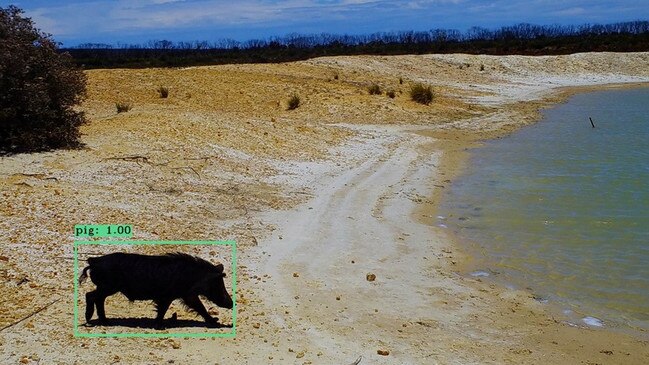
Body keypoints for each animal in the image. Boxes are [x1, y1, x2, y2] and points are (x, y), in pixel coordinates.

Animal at [78, 253, 233, 328]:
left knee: (97, 298)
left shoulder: (187, 295)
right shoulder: (168, 296)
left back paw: (105, 322)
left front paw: (215, 322)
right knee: (90, 295)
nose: (231, 303)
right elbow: (163, 309)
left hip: (107, 287)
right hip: (108, 286)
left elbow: (200, 308)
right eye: (218, 284)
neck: (193, 276)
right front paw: (159, 326)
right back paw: (90, 320)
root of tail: (94, 261)